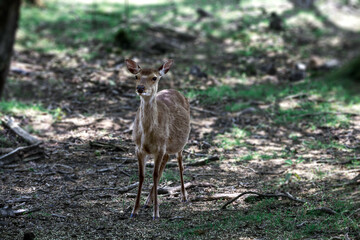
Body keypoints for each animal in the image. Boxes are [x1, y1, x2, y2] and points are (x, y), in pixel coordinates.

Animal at [125, 58, 191, 219]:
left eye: (154, 78)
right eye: (136, 76)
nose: (140, 88)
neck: (148, 135)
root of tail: (175, 91)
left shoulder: (160, 147)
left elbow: (154, 175)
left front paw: (156, 213)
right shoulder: (139, 148)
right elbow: (142, 175)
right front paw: (134, 210)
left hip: (180, 143)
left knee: (180, 163)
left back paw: (184, 196)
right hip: (167, 146)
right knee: (166, 160)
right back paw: (148, 201)